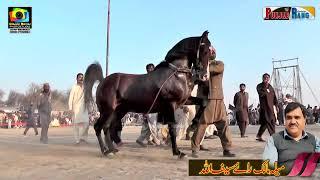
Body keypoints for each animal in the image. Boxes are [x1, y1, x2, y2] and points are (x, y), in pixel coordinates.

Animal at [84, 31, 211, 159]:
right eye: (204, 50)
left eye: (210, 51)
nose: (204, 75)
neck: (176, 74)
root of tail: (103, 80)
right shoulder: (171, 105)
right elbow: (172, 127)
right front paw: (178, 152)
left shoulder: (185, 100)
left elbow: (204, 102)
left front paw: (194, 124)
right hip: (107, 110)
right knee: (98, 127)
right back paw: (105, 150)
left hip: (118, 111)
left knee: (108, 127)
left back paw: (112, 149)